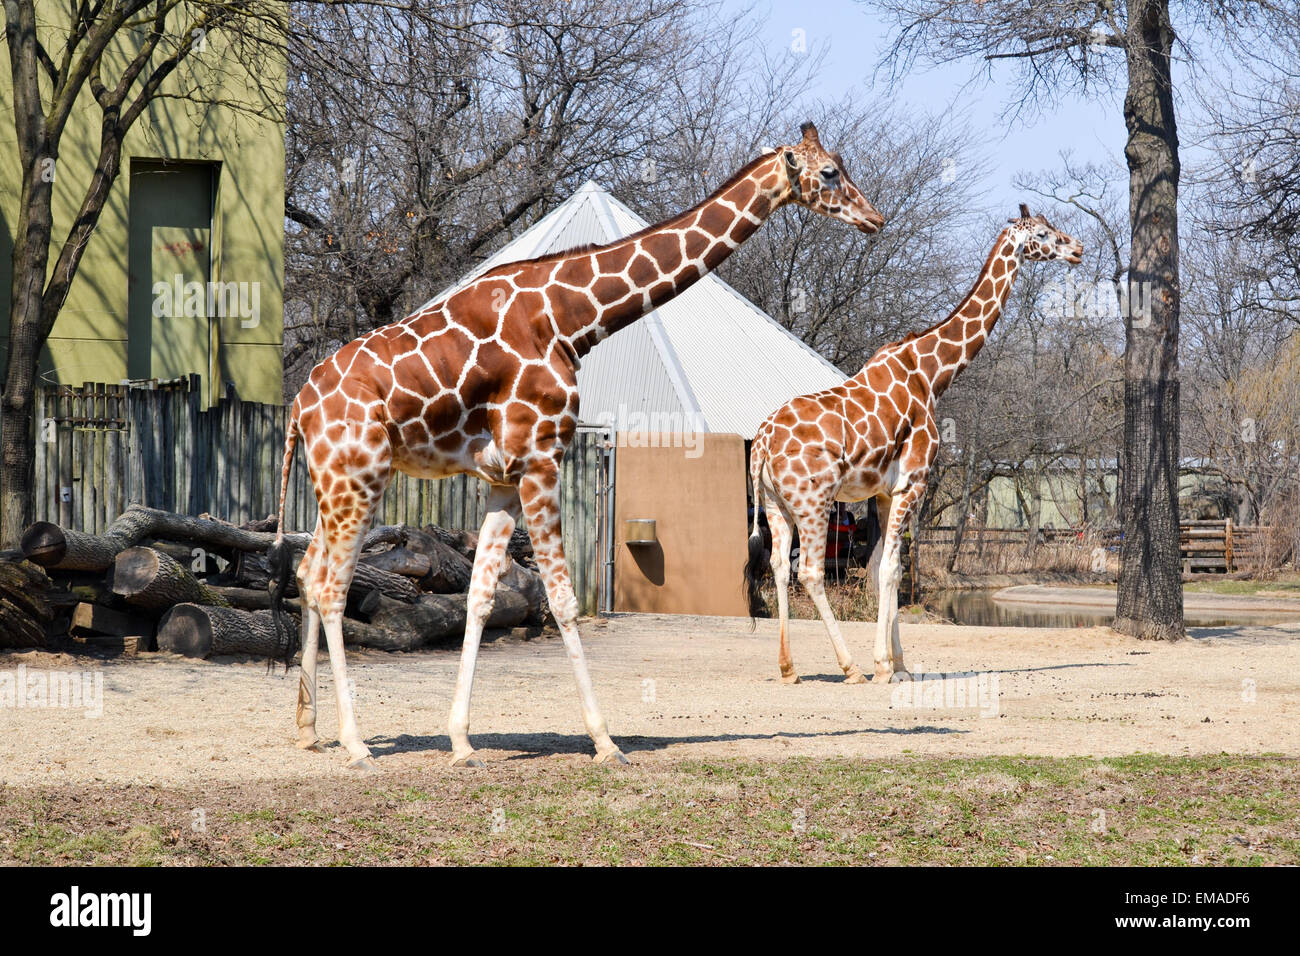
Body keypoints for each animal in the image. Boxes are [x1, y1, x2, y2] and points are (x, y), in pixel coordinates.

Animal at [269, 121, 889, 770]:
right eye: (829, 173)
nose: (876, 218)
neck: (572, 317)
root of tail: (299, 406)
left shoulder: (503, 477)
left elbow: (480, 597)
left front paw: (462, 741)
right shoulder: (543, 458)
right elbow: (564, 601)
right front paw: (605, 740)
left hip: (335, 482)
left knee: (309, 571)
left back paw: (308, 729)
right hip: (360, 476)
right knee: (331, 585)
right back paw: (356, 743)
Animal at [748, 205, 1081, 686]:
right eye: (1044, 234)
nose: (1077, 249)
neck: (932, 374)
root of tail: (760, 443)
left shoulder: (886, 493)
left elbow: (884, 569)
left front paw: (899, 664)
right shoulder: (914, 483)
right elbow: (889, 568)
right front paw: (883, 666)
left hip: (776, 503)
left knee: (776, 565)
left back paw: (789, 667)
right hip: (814, 500)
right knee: (808, 570)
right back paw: (849, 668)